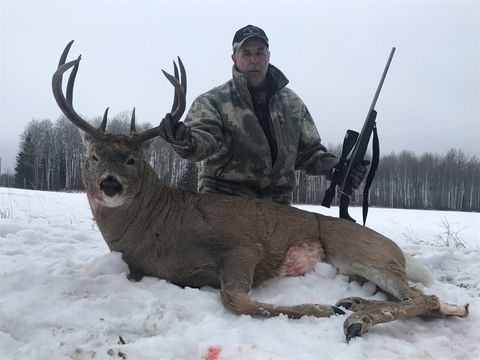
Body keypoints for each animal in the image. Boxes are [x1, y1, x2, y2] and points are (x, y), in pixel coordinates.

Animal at [53, 40, 468, 342]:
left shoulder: (242, 245)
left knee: (427, 297)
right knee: (428, 301)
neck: (158, 229)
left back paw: (356, 317)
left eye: (132, 159)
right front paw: (328, 307)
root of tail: (397, 250)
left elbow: (236, 301)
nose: (110, 184)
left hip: (360, 251)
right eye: (92, 156)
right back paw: (352, 304)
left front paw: (318, 309)